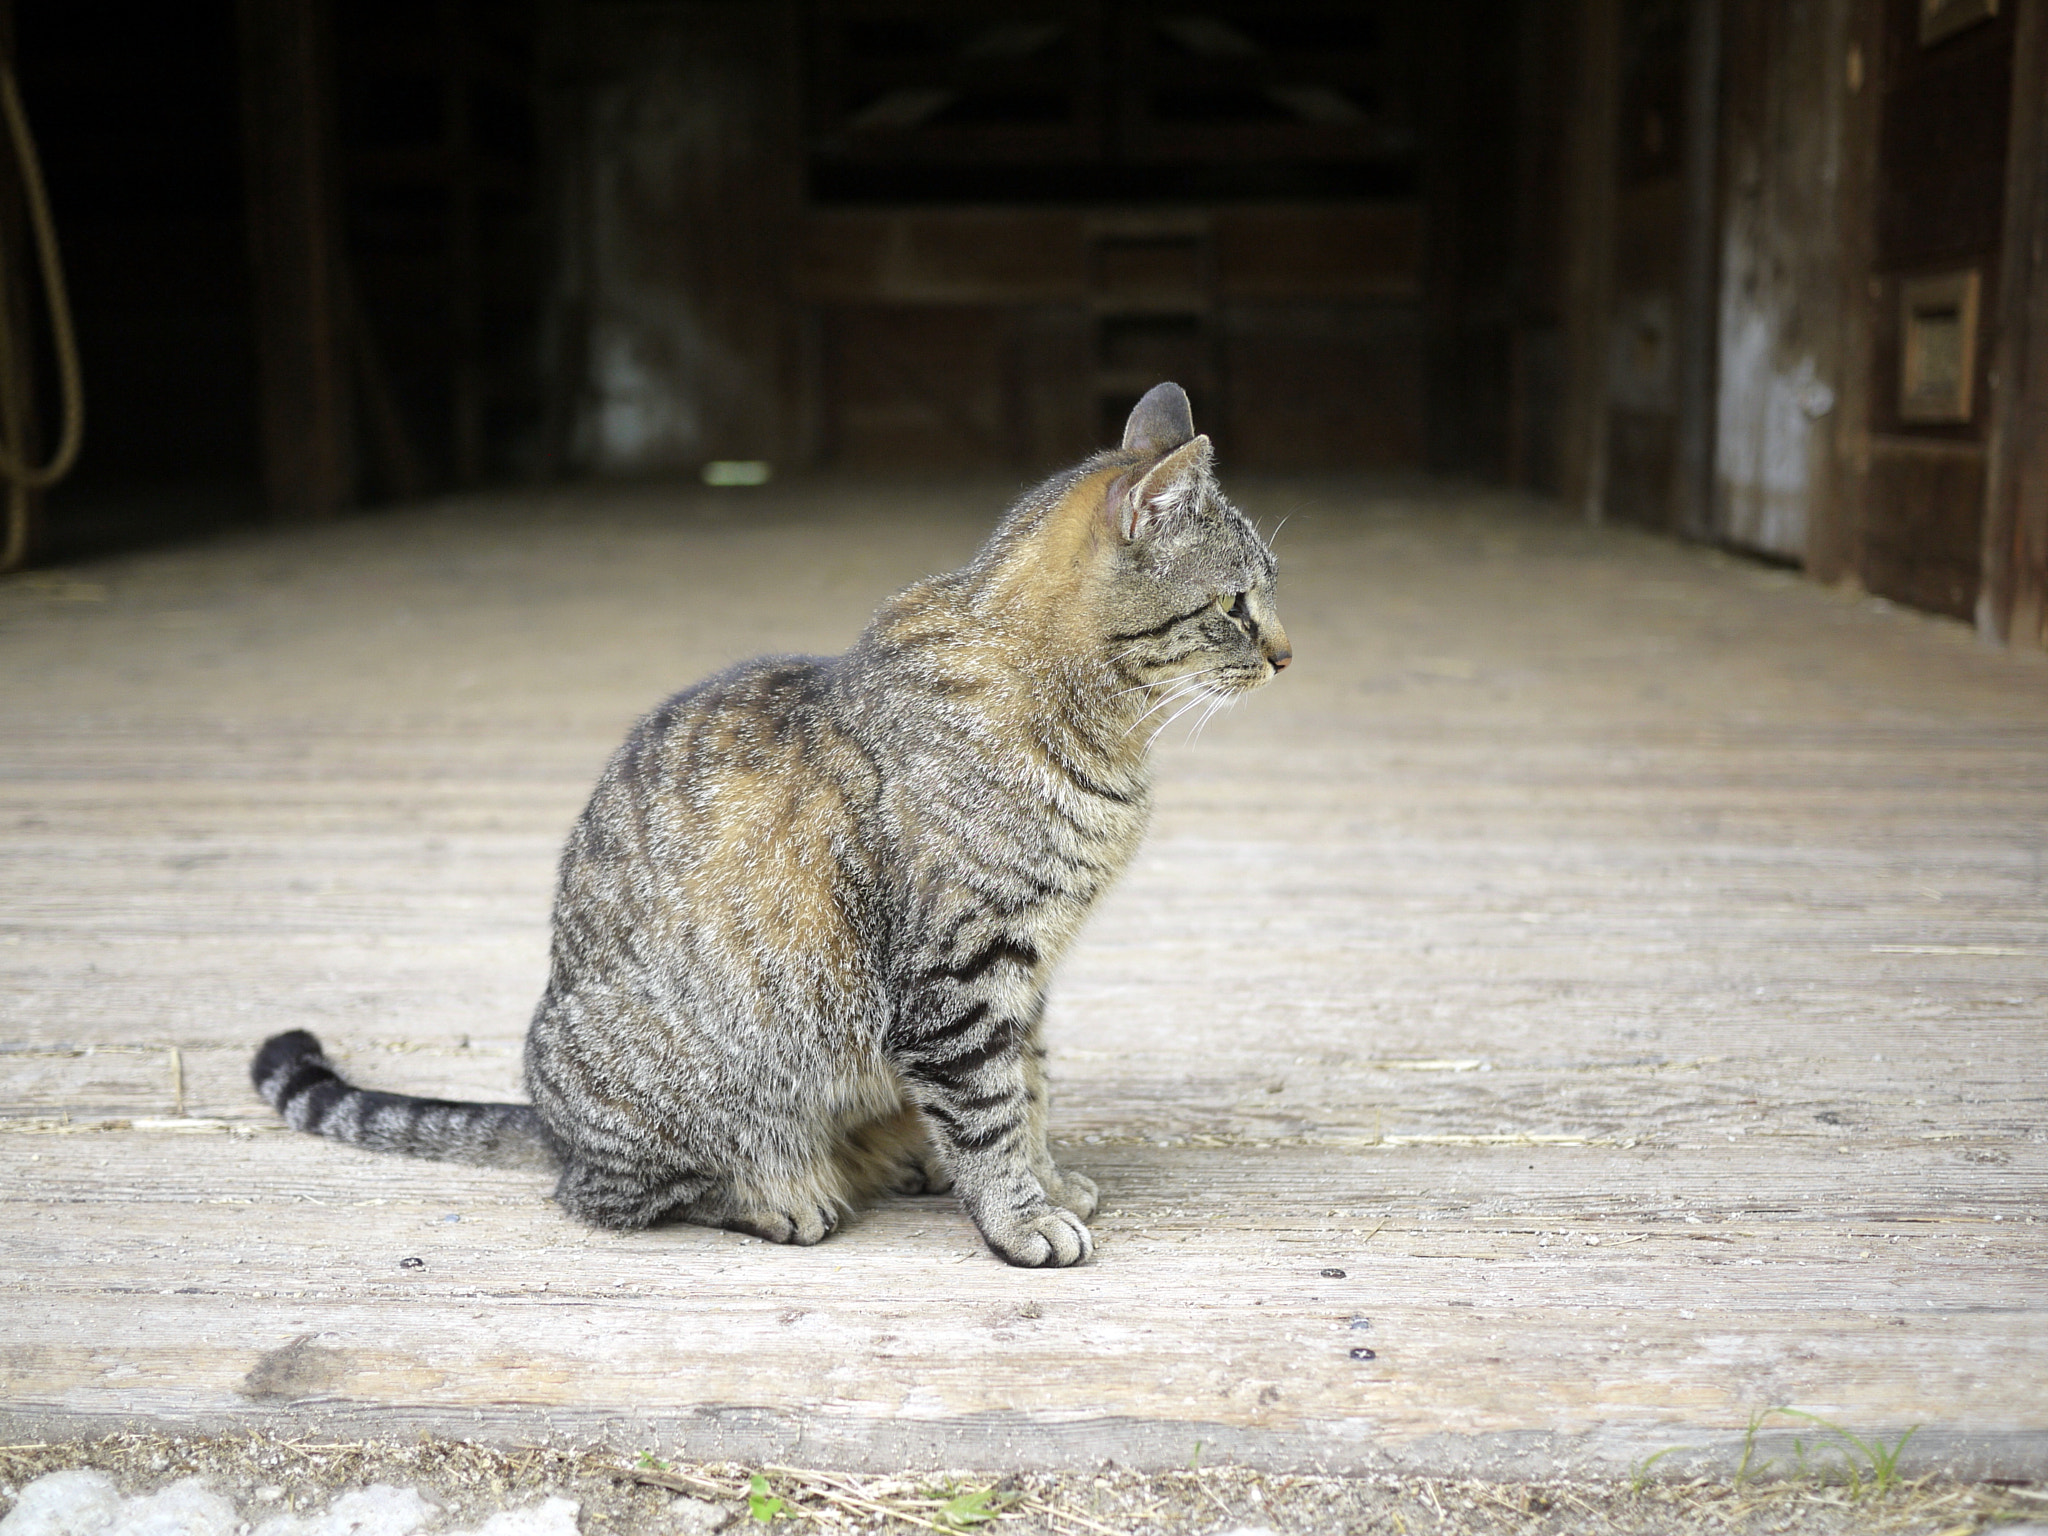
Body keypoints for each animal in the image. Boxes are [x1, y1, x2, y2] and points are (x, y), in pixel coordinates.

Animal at [247, 382, 1286, 1261]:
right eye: (1237, 603)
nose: (1286, 653)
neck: (1103, 735)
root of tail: (546, 1121)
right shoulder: (959, 974)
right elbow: (991, 1110)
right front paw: (1019, 1216)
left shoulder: (1024, 974)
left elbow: (1027, 1090)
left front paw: (1048, 1182)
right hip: (678, 1091)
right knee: (617, 1194)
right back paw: (785, 1195)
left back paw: (899, 1158)